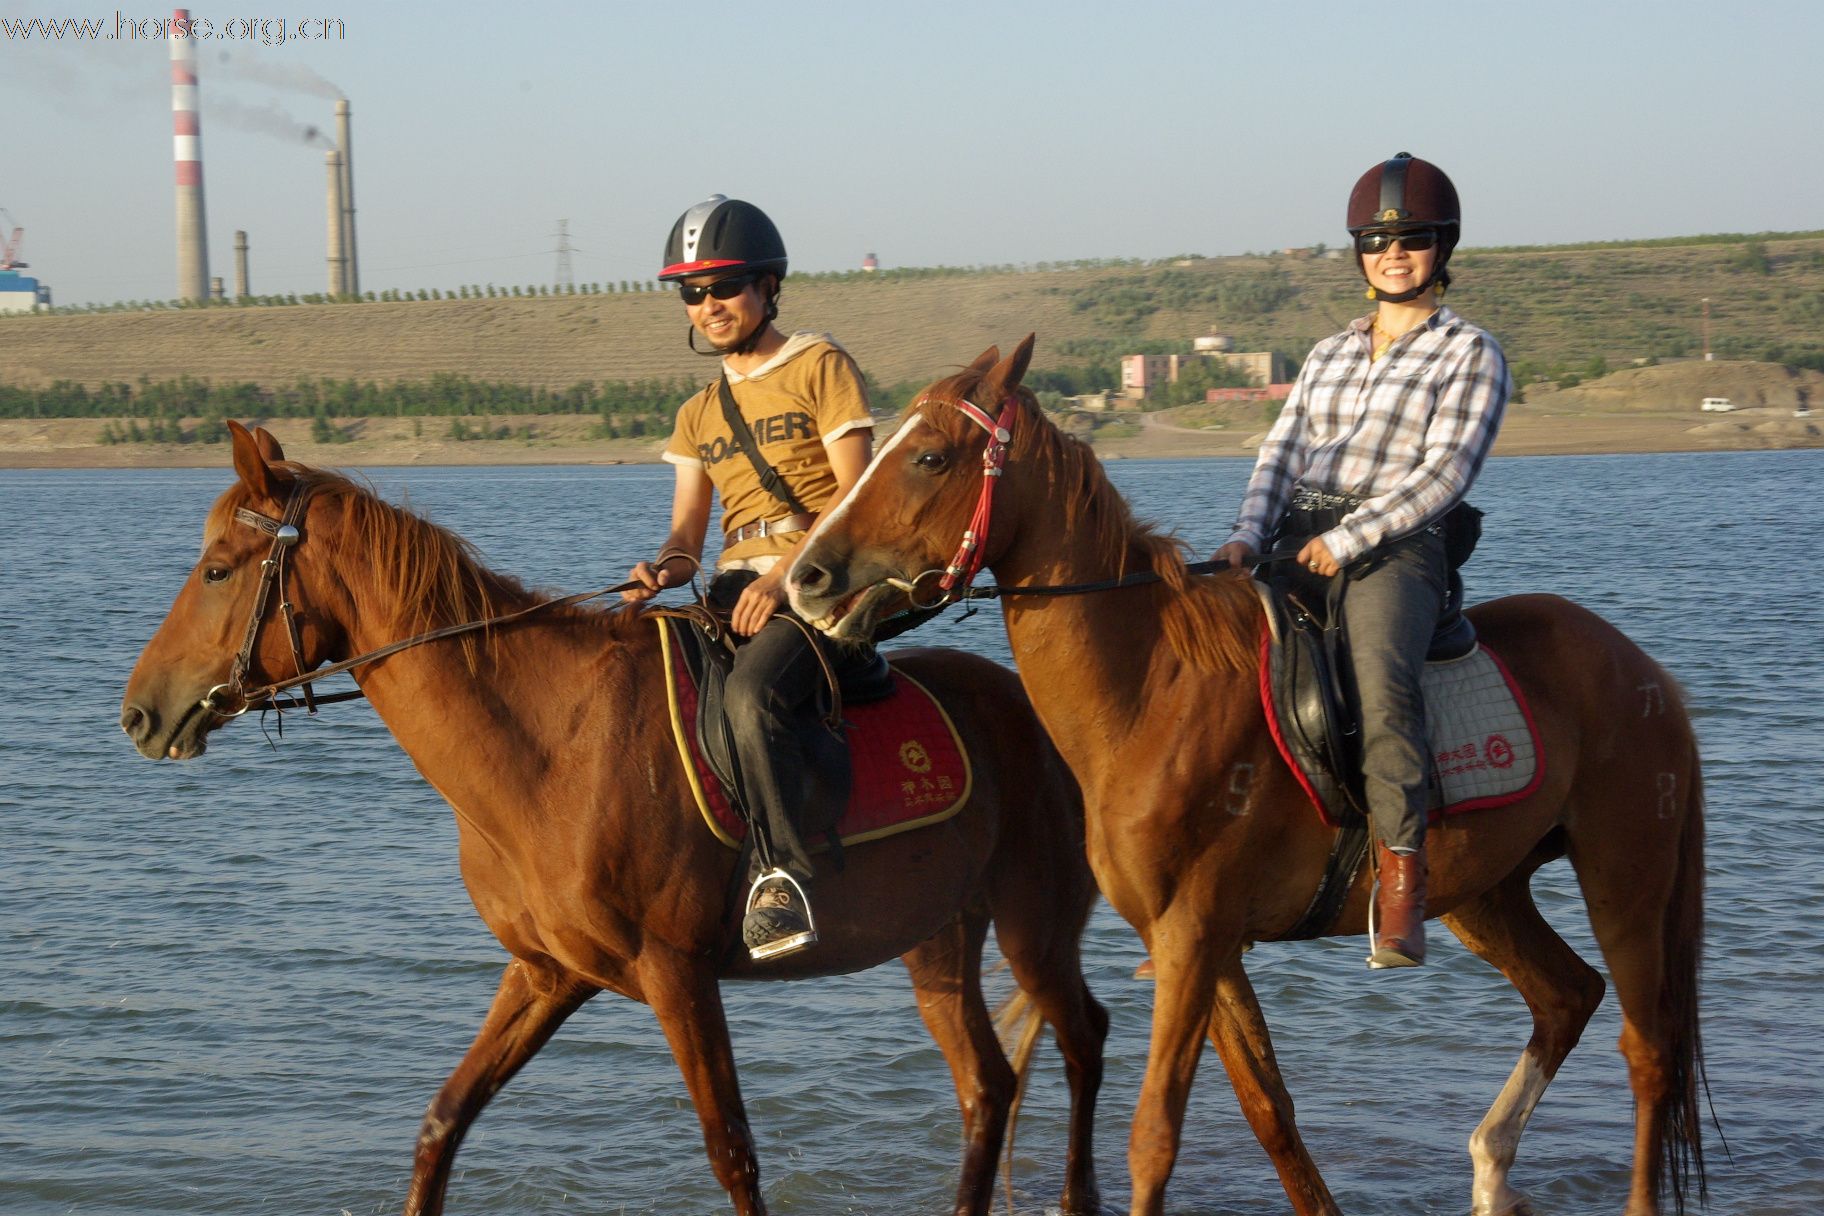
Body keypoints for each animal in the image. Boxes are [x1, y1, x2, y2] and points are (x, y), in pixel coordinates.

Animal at [124, 426, 1108, 1216]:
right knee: (987, 1086)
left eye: (217, 570)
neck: (549, 743)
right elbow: (442, 1123)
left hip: (1034, 920)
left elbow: (733, 1155)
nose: (140, 712)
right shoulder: (546, 973)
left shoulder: (677, 975)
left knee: (1084, 1037)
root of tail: (1042, 708)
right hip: (938, 937)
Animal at [787, 340, 1707, 1216]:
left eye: (931, 456)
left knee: (1648, 1048)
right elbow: (1270, 1112)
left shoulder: (1194, 937)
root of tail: (1645, 671)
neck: (1152, 692)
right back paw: (1490, 1174)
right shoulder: (1203, 945)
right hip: (1485, 892)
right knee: (1567, 997)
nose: (808, 576)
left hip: (1625, 879)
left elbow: (1154, 1135)